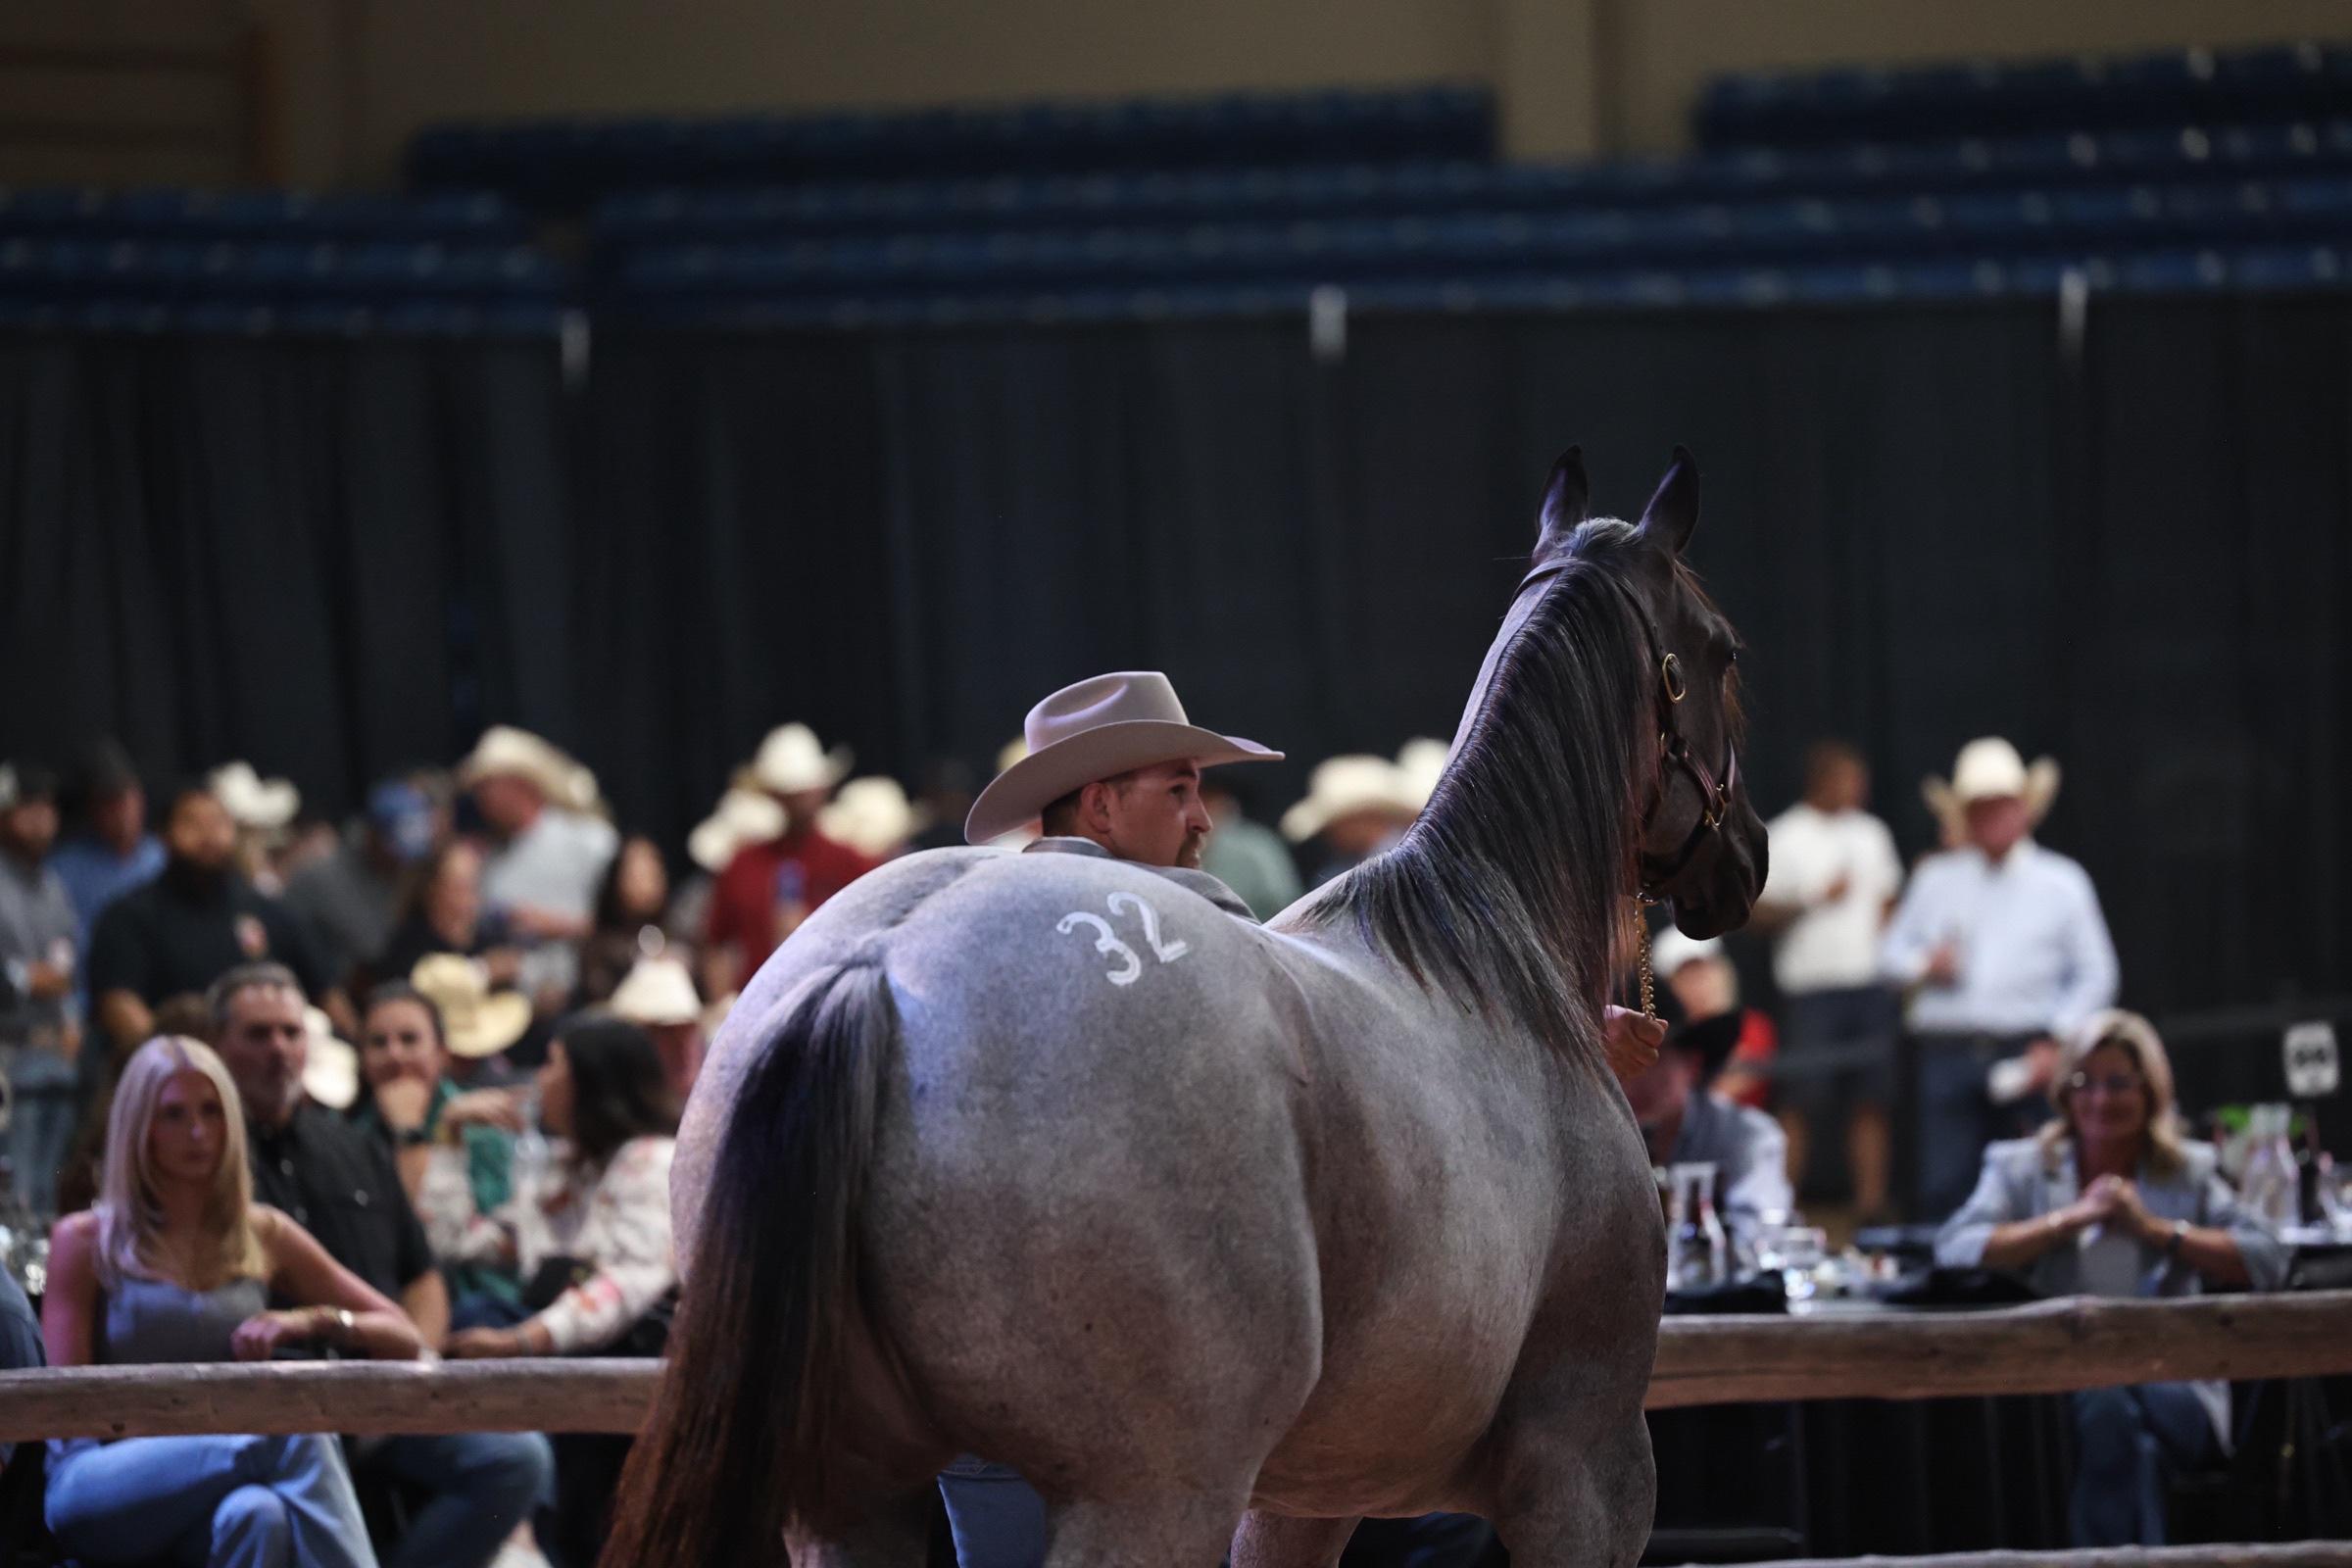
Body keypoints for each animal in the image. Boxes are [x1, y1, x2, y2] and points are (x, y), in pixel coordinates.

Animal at [601, 446, 1767, 1568]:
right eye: (1721, 650)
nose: (1747, 857)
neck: (1490, 957)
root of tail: (880, 971)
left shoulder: (1303, 1500)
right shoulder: (1586, 1475)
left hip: (854, 1498)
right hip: (1149, 1495)